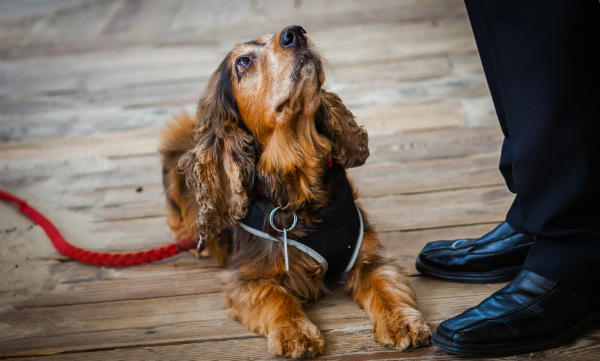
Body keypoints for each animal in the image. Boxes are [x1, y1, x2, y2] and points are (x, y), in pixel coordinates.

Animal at [159, 25, 432, 358]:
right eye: (243, 62)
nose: (295, 32)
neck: (297, 176)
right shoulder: (246, 278)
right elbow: (277, 297)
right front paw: (294, 333)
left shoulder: (368, 254)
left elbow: (386, 285)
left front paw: (402, 322)